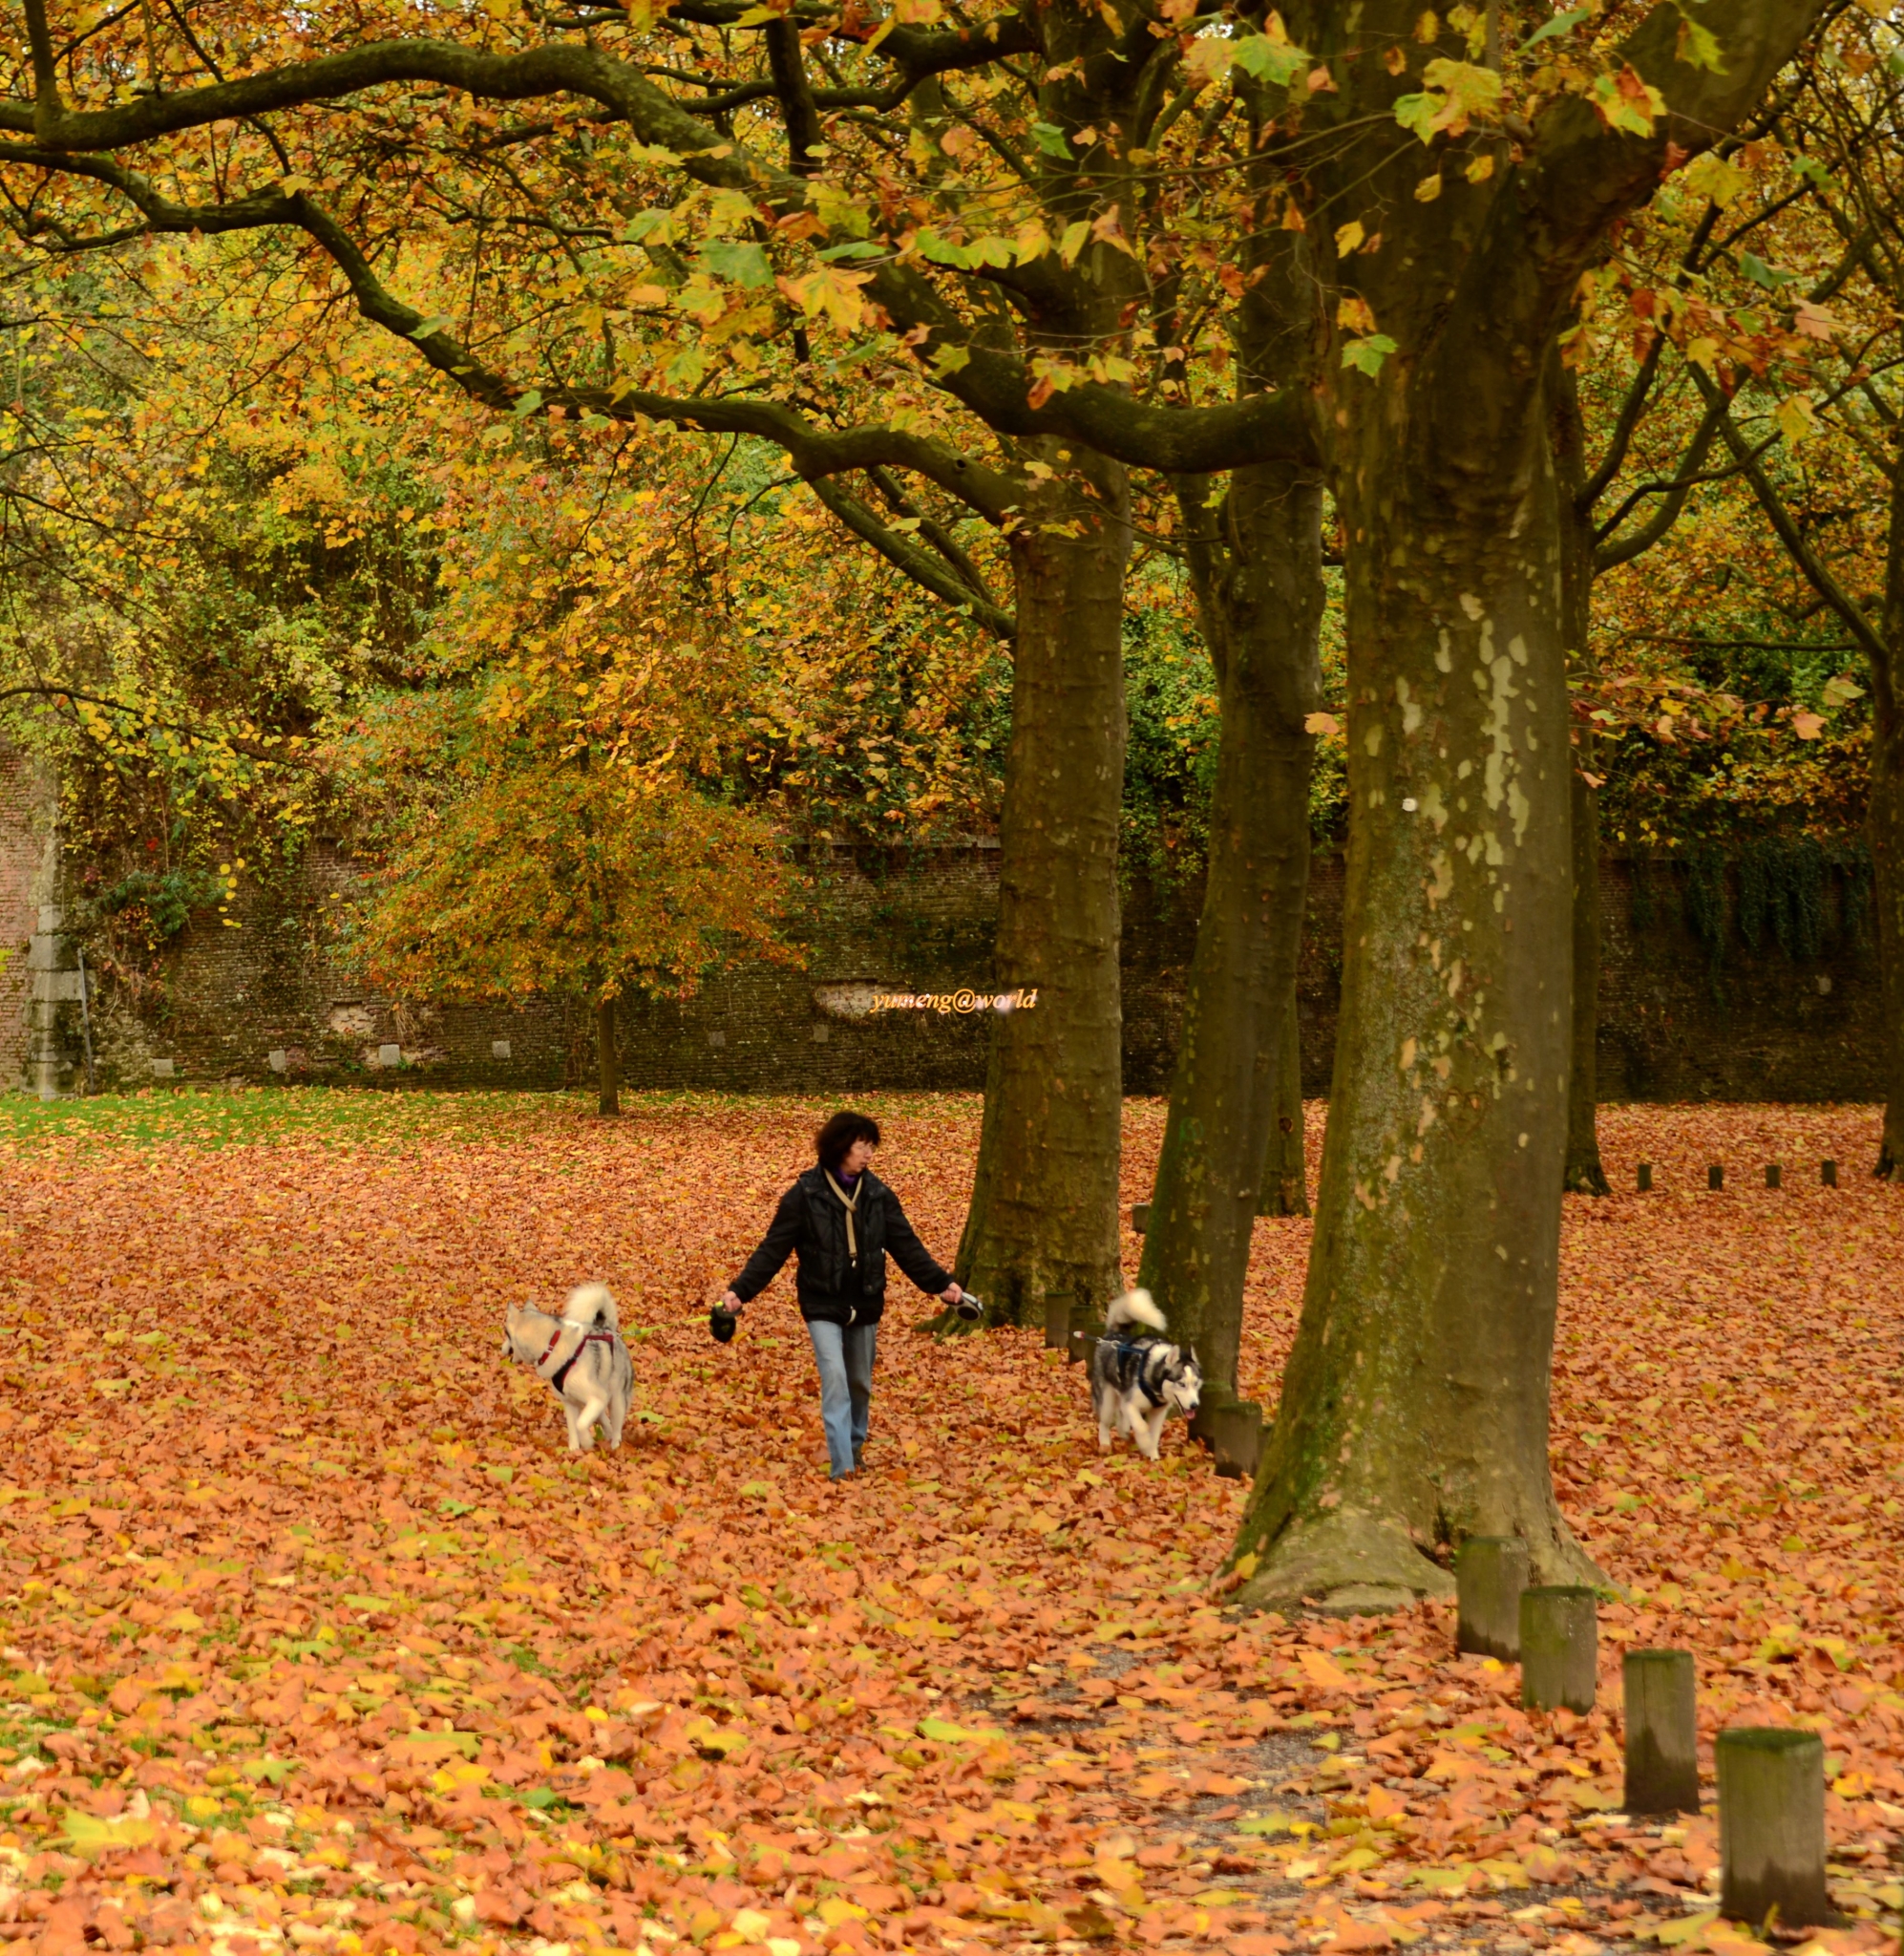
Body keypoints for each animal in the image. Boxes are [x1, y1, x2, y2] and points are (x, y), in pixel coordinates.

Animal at [504, 1283, 637, 1455]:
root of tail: (610, 1330)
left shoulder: (597, 1398)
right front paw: (574, 1450)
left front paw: (587, 1442)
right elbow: (573, 1426)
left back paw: (615, 1445)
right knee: (604, 1419)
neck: (551, 1344)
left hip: (616, 1400)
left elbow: (580, 1424)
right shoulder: (570, 1402)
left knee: (616, 1426)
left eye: (506, 1333)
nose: (501, 1349)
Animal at [1094, 1290, 1195, 1462]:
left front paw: (1153, 1454)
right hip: (1107, 1399)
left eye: (1196, 1384)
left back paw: (1123, 1430)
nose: (1195, 1405)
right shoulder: (1131, 1404)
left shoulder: (1159, 1412)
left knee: (1121, 1414)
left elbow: (1154, 1433)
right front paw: (1145, 1444)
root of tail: (1113, 1334)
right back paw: (1105, 1443)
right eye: (1181, 1384)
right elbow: (1142, 1427)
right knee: (1105, 1421)